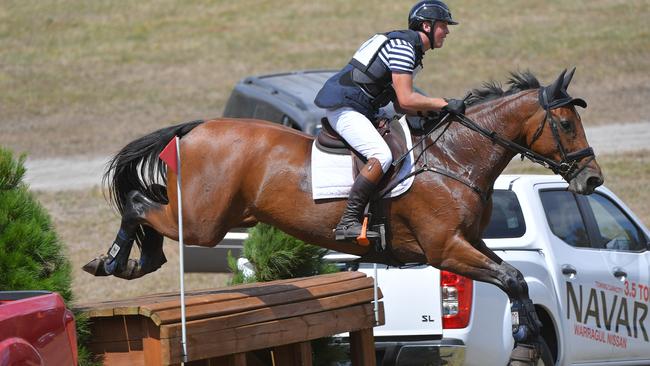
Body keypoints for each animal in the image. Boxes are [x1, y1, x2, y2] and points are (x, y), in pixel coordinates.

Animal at [85, 68, 604, 360]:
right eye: (565, 124)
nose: (592, 180)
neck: (456, 158)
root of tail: (197, 128)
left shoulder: (470, 242)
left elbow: (515, 277)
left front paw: (529, 337)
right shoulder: (446, 249)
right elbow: (513, 279)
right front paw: (524, 338)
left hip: (223, 217)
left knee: (148, 205)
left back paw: (136, 261)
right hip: (203, 221)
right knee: (140, 204)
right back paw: (115, 261)